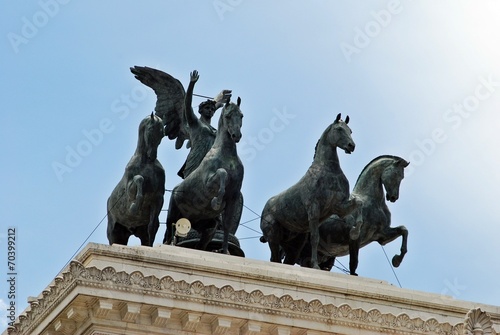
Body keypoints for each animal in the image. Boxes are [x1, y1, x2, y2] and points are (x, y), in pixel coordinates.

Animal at [163, 97, 243, 255]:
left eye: (241, 115)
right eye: (228, 116)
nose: (236, 136)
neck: (226, 155)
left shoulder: (234, 196)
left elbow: (227, 224)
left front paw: (225, 251)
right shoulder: (208, 183)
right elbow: (222, 173)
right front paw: (216, 202)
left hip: (207, 228)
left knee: (201, 244)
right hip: (172, 217)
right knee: (169, 237)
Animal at [260, 114, 362, 270]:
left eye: (350, 130)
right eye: (339, 129)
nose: (351, 146)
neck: (328, 171)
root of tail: (266, 207)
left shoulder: (339, 207)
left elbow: (358, 203)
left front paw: (355, 232)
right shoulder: (314, 210)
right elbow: (315, 238)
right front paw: (315, 265)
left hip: (293, 246)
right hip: (273, 236)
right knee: (275, 258)